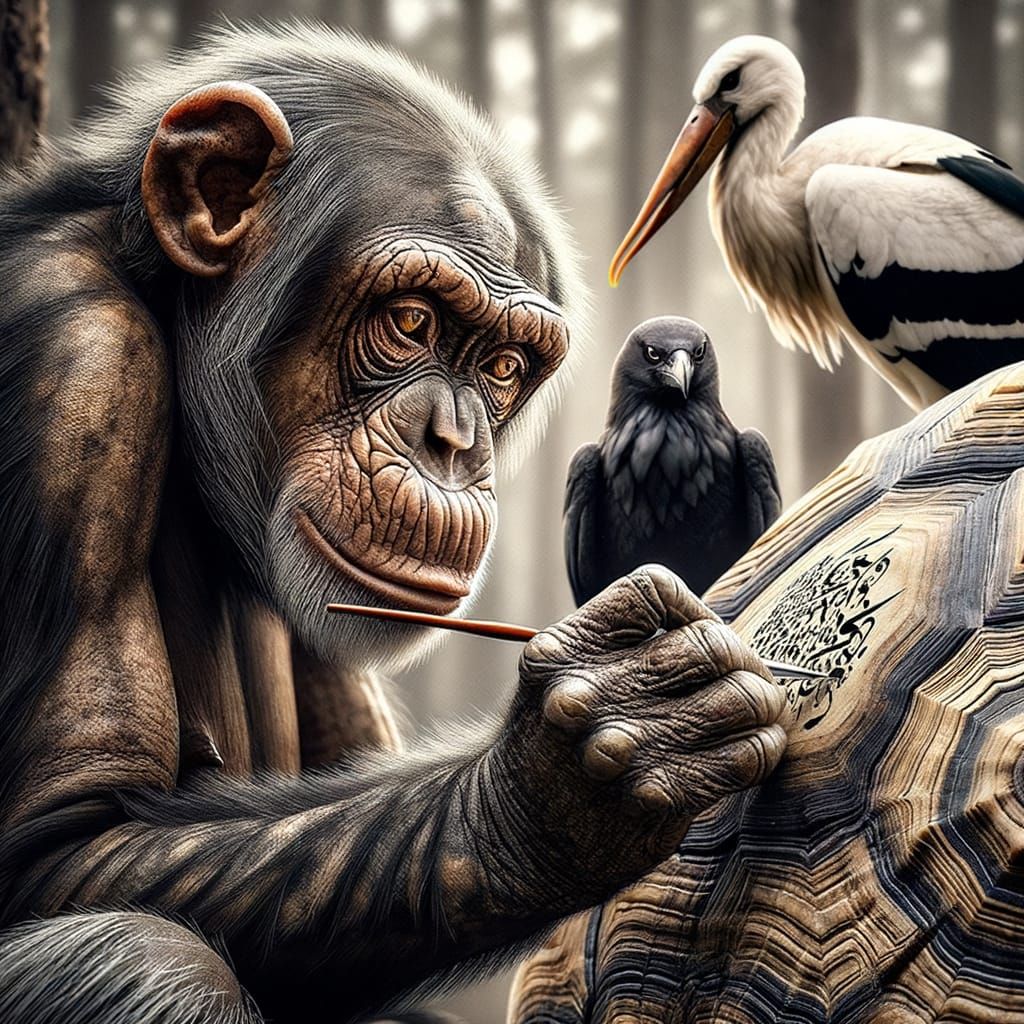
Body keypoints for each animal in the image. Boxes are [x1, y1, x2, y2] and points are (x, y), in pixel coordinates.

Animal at [0, 23, 788, 1024]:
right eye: (410, 320)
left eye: (500, 366)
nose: (450, 442)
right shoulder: (75, 368)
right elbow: (61, 843)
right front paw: (563, 780)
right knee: (148, 955)